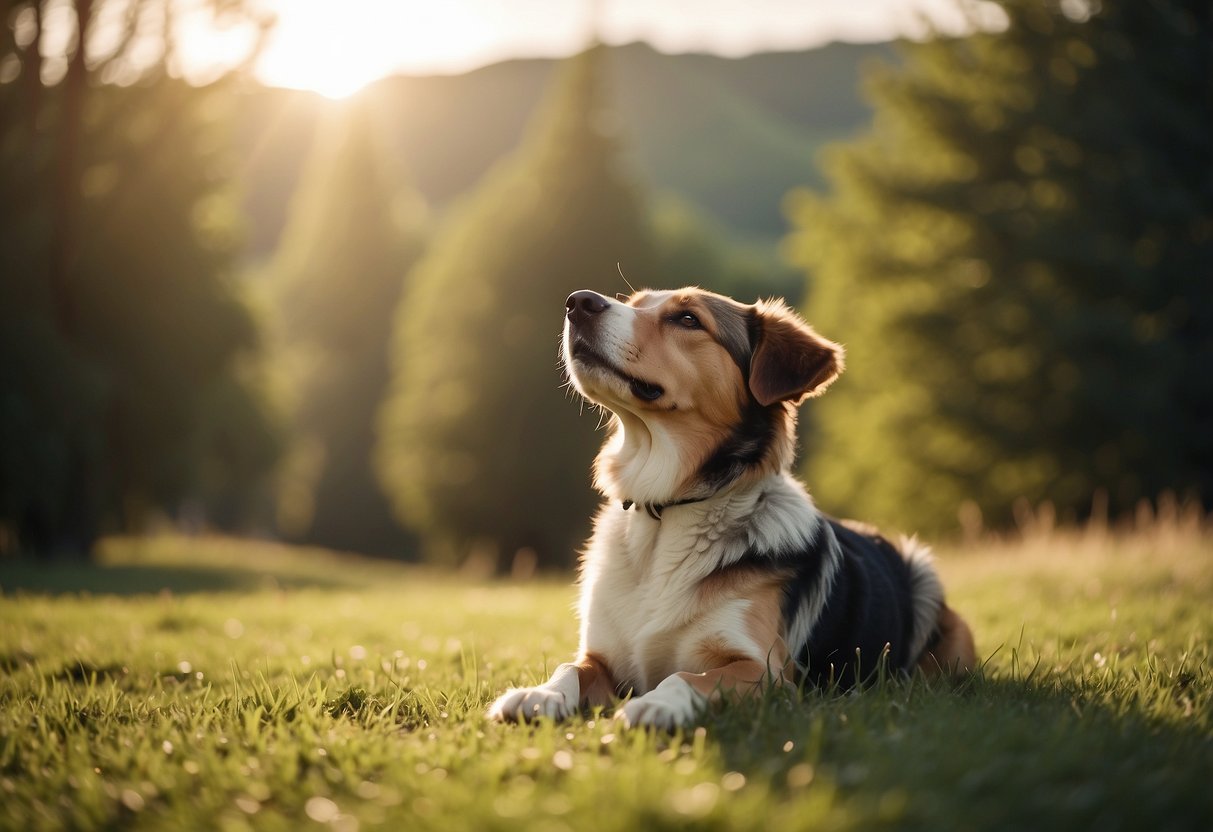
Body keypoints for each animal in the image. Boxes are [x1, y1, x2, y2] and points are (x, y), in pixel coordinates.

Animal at [487, 288, 970, 727]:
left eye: (687, 319)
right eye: (634, 302)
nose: (578, 301)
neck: (666, 513)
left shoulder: (765, 671)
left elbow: (686, 676)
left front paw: (658, 705)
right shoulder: (602, 656)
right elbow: (569, 666)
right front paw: (539, 694)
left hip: (929, 587)